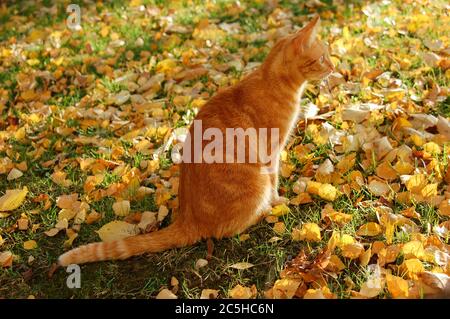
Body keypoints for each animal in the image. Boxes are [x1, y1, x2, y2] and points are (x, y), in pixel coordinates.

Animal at [59, 15, 334, 266]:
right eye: (322, 57)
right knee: (230, 229)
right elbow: (274, 180)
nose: (333, 67)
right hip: (255, 183)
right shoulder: (270, 152)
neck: (274, 82)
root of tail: (187, 219)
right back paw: (265, 210)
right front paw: (278, 201)